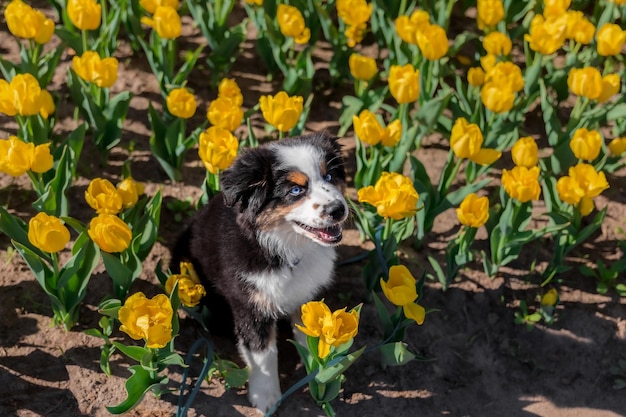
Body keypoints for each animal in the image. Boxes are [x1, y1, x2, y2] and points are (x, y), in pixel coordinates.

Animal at [169, 132, 346, 412]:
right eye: (296, 190)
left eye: (329, 176)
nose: (338, 209)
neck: (287, 249)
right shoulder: (250, 303)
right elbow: (263, 354)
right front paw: (266, 397)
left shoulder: (307, 294)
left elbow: (309, 336)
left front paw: (318, 372)